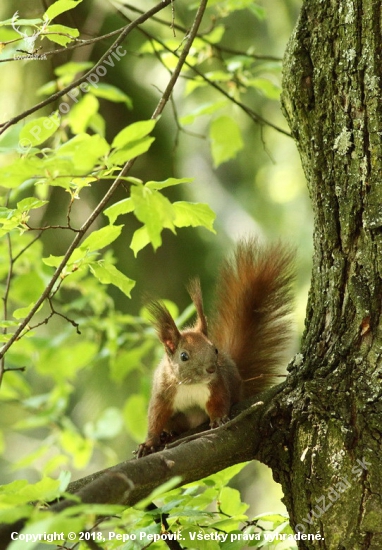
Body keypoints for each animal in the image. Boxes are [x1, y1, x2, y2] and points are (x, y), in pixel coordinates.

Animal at [138, 239, 296, 460]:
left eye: (215, 350)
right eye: (184, 356)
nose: (212, 369)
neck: (190, 384)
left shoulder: (216, 385)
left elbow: (219, 401)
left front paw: (219, 420)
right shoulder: (163, 391)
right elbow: (156, 417)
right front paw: (149, 442)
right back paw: (167, 433)